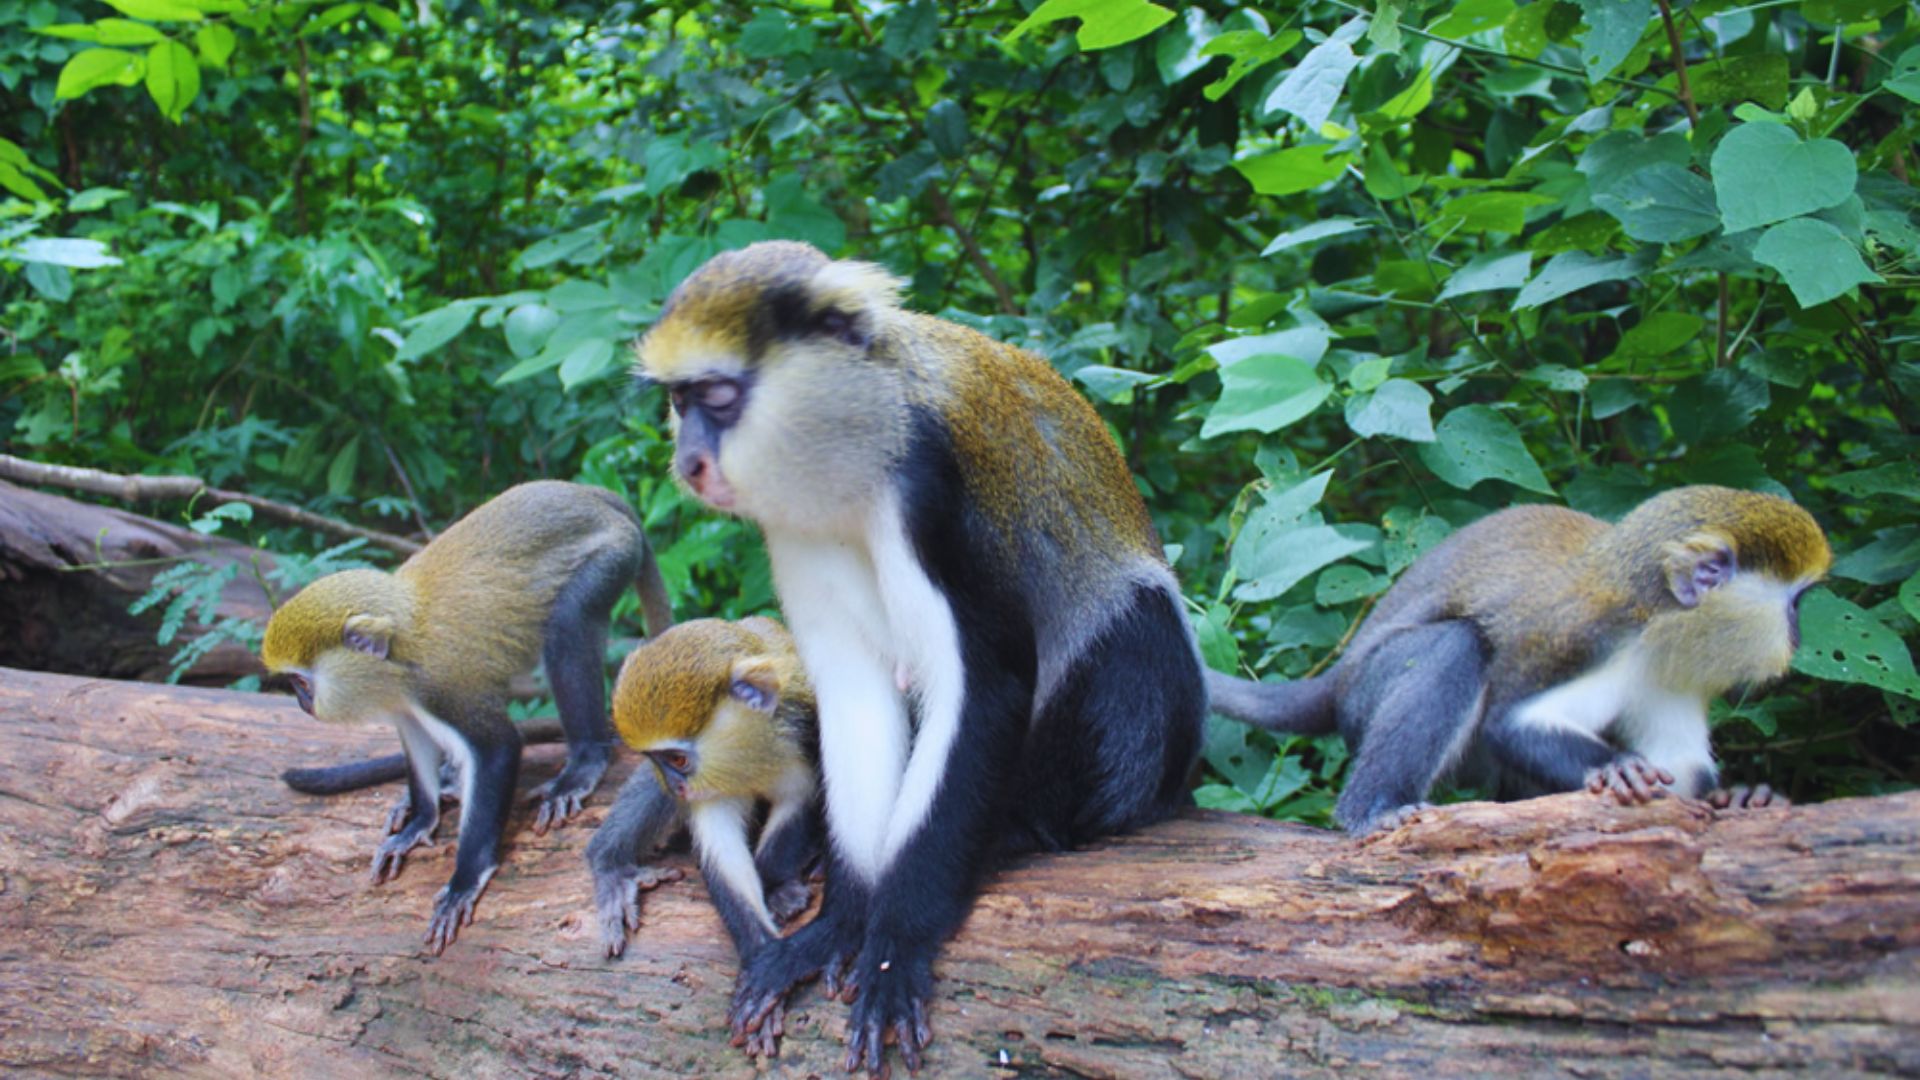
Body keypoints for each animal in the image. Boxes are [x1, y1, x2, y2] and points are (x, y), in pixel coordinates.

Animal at [261, 480, 674, 953]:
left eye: (301, 682)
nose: (301, 704)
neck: (399, 641)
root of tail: (586, 492)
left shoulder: (442, 685)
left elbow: (498, 748)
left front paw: (463, 880)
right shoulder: (405, 702)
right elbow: (417, 742)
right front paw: (420, 819)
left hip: (610, 557)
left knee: (569, 623)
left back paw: (583, 762)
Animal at [587, 618, 821, 1034]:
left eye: (678, 759)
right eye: (656, 758)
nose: (676, 784)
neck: (750, 757)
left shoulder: (801, 735)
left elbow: (800, 804)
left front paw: (775, 886)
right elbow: (723, 853)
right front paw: (761, 957)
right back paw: (610, 867)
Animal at [635, 241, 1205, 1074]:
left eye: (717, 395)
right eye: (681, 402)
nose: (689, 463)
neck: (863, 434)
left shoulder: (930, 491)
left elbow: (984, 683)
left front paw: (893, 945)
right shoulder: (791, 524)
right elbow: (857, 694)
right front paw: (841, 925)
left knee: (1136, 637)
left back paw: (1018, 828)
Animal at [1205, 485, 1830, 834]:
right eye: (1796, 603)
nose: (1799, 636)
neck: (1658, 619)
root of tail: (1336, 681)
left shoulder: (1675, 672)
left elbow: (1682, 766)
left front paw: (1741, 798)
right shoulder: (1589, 638)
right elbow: (1513, 723)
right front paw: (1614, 768)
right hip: (1368, 688)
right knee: (1456, 647)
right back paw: (1375, 809)